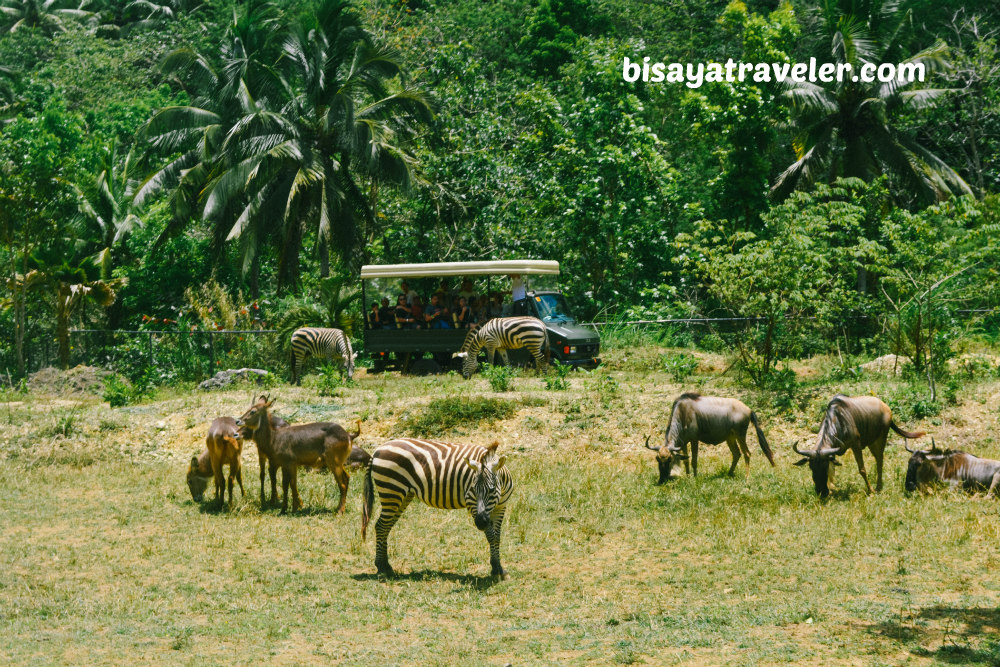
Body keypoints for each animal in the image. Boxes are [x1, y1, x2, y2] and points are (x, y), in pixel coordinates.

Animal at [362, 438, 516, 580]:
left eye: (491, 490)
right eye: (472, 490)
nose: (480, 523)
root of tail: (377, 450)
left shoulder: (501, 507)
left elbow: (497, 536)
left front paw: (498, 568)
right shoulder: (472, 504)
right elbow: (491, 535)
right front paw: (496, 569)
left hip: (402, 496)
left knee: (385, 526)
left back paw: (386, 566)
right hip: (392, 491)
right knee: (381, 526)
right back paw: (381, 567)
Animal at [644, 394, 776, 482]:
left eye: (670, 459)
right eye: (657, 459)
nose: (662, 479)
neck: (683, 413)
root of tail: (748, 409)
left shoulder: (694, 440)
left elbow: (694, 460)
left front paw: (695, 478)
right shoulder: (683, 442)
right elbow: (686, 460)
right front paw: (688, 476)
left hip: (740, 435)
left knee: (747, 453)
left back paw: (747, 478)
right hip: (730, 438)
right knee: (736, 454)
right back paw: (729, 473)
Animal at [792, 396, 924, 496]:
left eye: (824, 467)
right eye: (811, 467)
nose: (821, 492)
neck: (837, 420)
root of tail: (886, 407)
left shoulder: (856, 445)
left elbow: (862, 469)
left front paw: (870, 491)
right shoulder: (832, 451)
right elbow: (833, 469)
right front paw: (832, 489)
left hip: (880, 440)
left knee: (879, 460)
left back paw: (878, 487)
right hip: (871, 442)